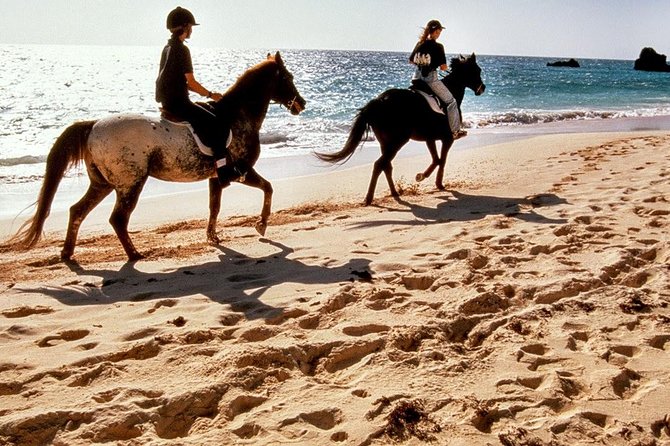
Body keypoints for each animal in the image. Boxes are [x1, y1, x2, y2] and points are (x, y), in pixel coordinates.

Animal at [5, 52, 308, 262]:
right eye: (288, 77)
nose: (302, 104)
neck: (237, 116)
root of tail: (94, 125)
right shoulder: (240, 171)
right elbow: (268, 188)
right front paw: (261, 225)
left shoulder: (216, 178)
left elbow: (214, 207)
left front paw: (213, 237)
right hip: (129, 183)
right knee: (117, 219)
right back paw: (134, 254)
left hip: (102, 183)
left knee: (77, 211)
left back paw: (68, 253)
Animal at [318, 53, 486, 205]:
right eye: (477, 70)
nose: (482, 88)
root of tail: (378, 101)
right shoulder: (447, 138)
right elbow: (441, 160)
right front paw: (432, 181)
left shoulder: (430, 139)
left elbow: (436, 159)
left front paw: (425, 178)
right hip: (397, 141)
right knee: (380, 164)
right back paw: (369, 198)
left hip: (386, 143)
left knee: (386, 166)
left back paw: (394, 193)